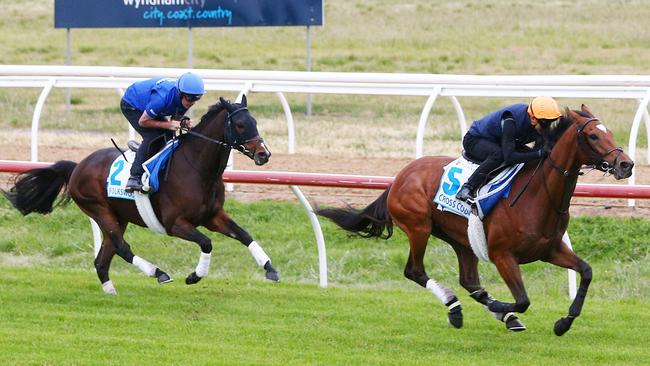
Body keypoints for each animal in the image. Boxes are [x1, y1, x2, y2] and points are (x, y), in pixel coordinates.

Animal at [4, 95, 278, 294]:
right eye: (240, 125)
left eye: (255, 122)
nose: (264, 154)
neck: (198, 169)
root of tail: (78, 166)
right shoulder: (174, 224)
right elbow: (206, 242)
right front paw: (194, 276)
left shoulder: (213, 216)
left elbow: (244, 234)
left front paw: (270, 268)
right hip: (98, 209)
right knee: (122, 248)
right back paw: (158, 273)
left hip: (118, 217)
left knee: (103, 259)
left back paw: (111, 291)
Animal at [316, 105, 632, 334]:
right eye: (593, 136)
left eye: (610, 132)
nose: (626, 164)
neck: (539, 194)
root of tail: (400, 177)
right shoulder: (503, 255)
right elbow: (523, 300)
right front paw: (501, 306)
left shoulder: (550, 249)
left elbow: (586, 272)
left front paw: (563, 323)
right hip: (419, 227)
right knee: (415, 271)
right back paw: (456, 307)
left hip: (461, 239)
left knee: (469, 280)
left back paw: (491, 312)